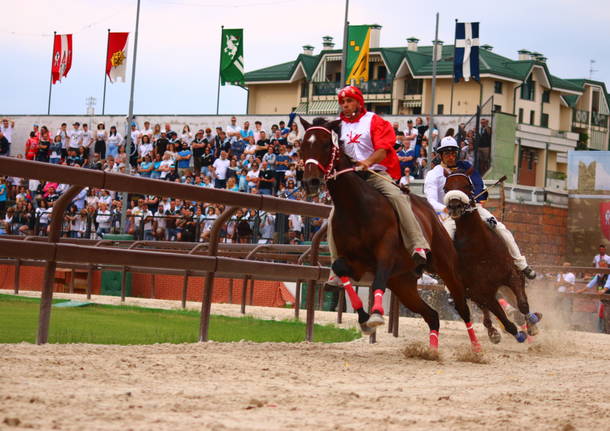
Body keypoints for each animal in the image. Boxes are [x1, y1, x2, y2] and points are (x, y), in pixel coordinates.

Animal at [298, 117, 480, 352]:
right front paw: (364, 318)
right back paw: (431, 351)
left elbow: (377, 282)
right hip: (403, 283)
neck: (356, 207)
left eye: (326, 145)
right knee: (432, 315)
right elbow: (341, 270)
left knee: (462, 306)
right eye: (303, 146)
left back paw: (477, 348)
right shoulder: (353, 262)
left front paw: (375, 314)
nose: (309, 182)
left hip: (446, 267)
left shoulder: (386, 254)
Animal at [440, 170, 540, 344]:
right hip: (473, 293)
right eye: (446, 188)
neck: (480, 248)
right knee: (486, 314)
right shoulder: (483, 292)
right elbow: (506, 322)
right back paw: (493, 332)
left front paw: (532, 324)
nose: (454, 206)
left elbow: (522, 304)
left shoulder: (512, 276)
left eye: (467, 185)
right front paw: (518, 334)